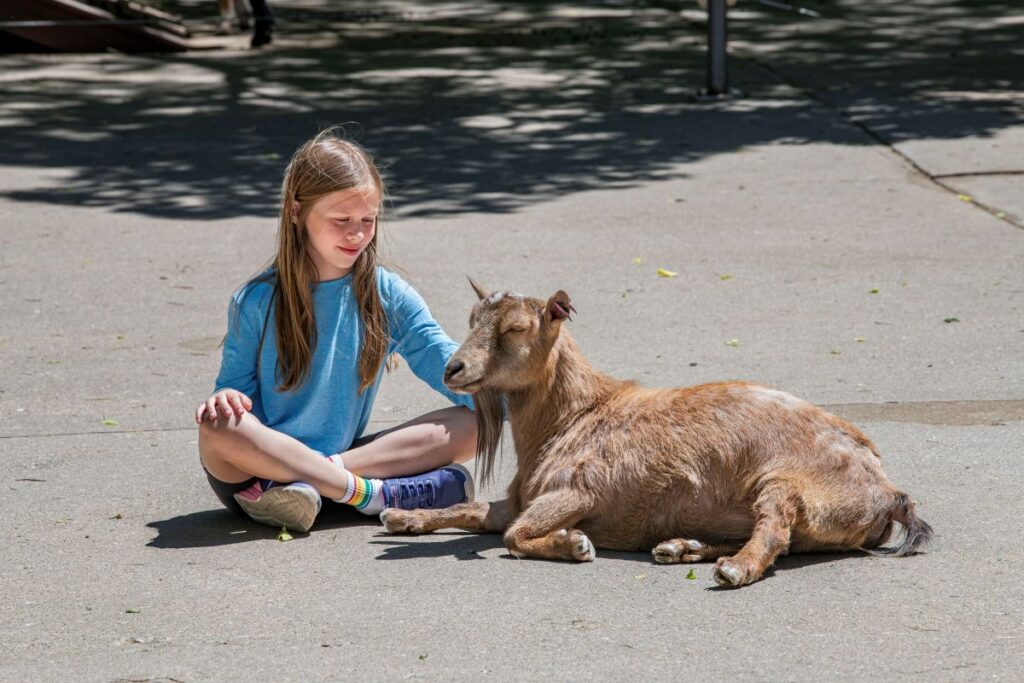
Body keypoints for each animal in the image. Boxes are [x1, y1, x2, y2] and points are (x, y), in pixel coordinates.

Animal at [380, 281, 933, 587]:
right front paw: (402, 518)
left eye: (516, 328)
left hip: (788, 484)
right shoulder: (520, 500)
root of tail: (887, 493)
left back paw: (732, 569)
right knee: (785, 540)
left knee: (776, 529)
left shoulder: (574, 492)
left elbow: (515, 536)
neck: (573, 417)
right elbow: (474, 508)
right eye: (473, 318)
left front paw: (575, 544)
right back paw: (681, 548)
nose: (454, 369)